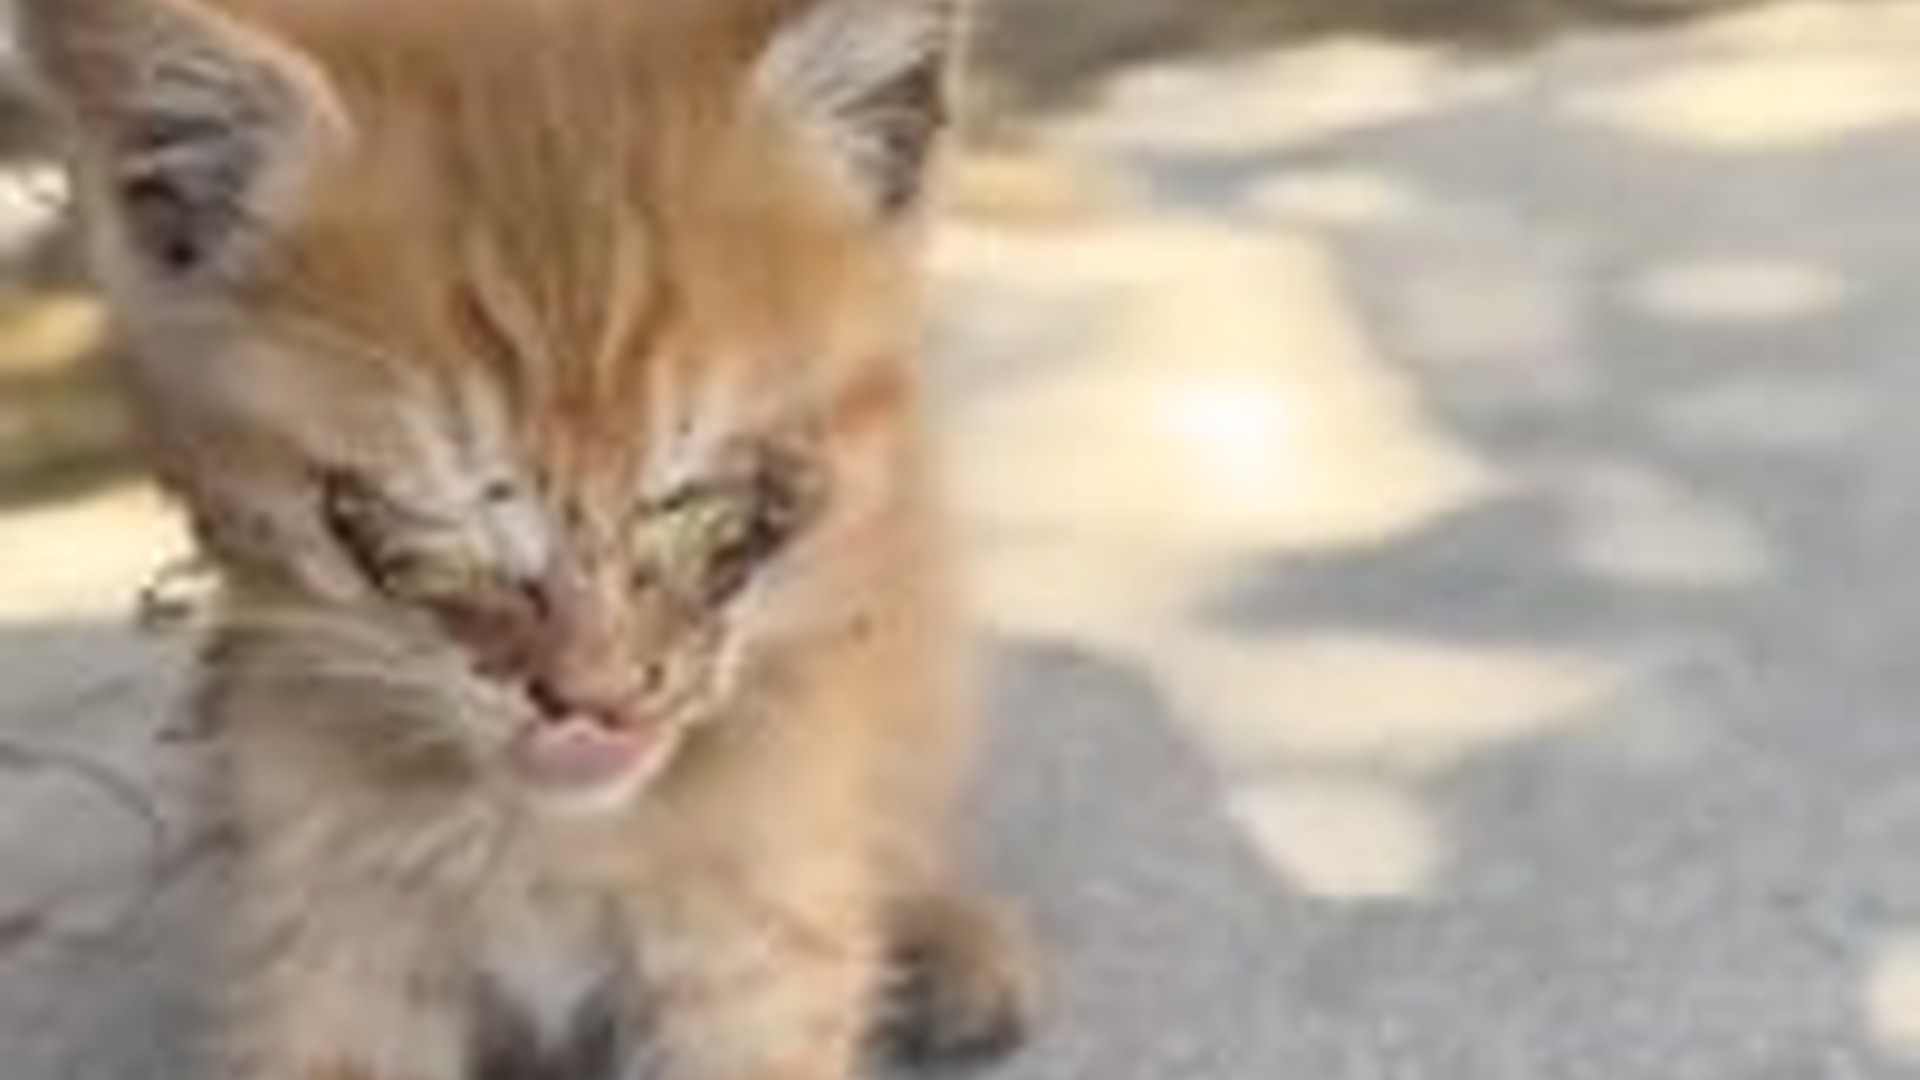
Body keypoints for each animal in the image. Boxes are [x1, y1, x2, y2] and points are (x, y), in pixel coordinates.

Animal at [18, 0, 1037, 1077]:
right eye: (420, 527)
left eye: (719, 507)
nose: (597, 702)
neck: (551, 838)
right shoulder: (336, 925)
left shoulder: (759, 930)